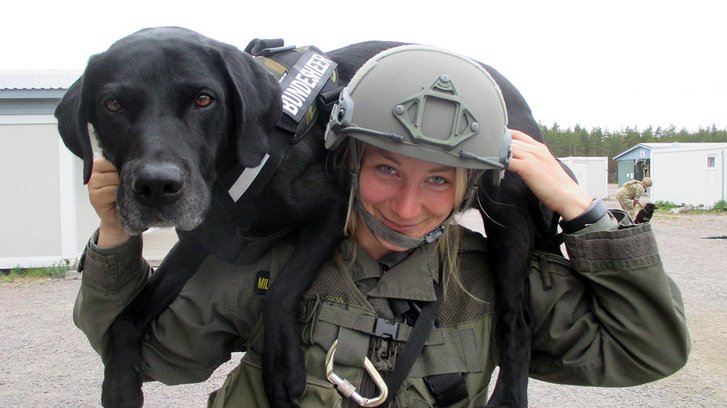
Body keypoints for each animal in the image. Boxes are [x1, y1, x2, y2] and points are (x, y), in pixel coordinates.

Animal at [57, 26, 564, 408]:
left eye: (204, 100)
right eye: (112, 104)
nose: (157, 187)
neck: (235, 171)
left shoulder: (331, 213)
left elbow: (282, 289)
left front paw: (283, 367)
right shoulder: (199, 240)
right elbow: (125, 320)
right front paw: (119, 384)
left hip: (509, 220)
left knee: (517, 319)